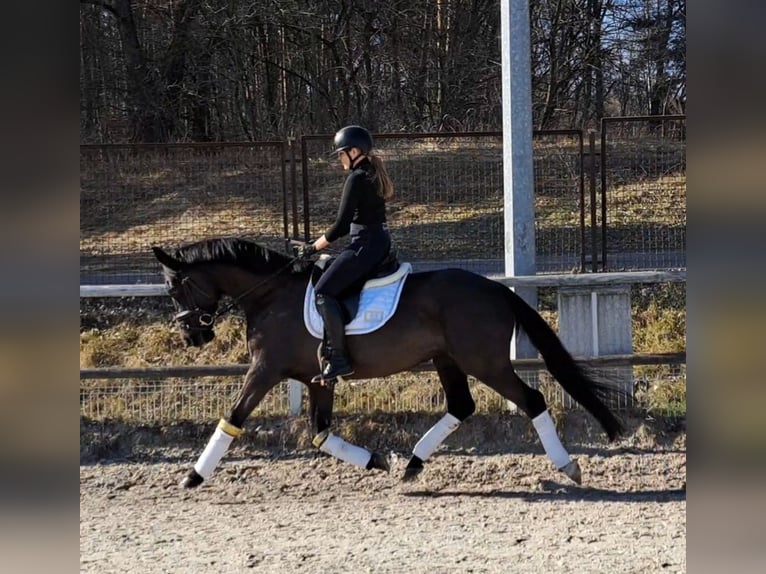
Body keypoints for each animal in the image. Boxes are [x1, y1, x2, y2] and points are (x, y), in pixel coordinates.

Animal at [153, 236, 628, 488]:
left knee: (531, 400)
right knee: (461, 406)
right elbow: (320, 434)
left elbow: (233, 417)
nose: (193, 336)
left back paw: (567, 465)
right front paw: (377, 461)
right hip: (447, 359)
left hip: (485, 362)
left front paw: (193, 476)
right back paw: (413, 464)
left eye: (176, 289)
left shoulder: (265, 370)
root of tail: (495, 288)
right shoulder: (317, 380)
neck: (270, 295)